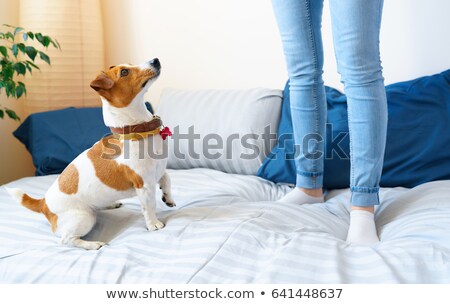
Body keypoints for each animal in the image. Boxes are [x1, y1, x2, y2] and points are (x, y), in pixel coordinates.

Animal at [7, 58, 176, 249]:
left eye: (130, 65)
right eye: (124, 72)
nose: (155, 60)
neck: (135, 130)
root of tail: (43, 203)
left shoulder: (158, 170)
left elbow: (167, 180)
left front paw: (168, 198)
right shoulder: (144, 184)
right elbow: (149, 206)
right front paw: (153, 224)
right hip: (84, 218)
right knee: (66, 239)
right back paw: (93, 244)